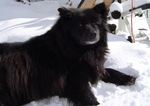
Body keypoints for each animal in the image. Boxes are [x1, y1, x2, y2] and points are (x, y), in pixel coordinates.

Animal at [0, 2, 135, 106]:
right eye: (80, 24)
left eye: (95, 23)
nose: (93, 34)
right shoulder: (74, 82)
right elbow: (89, 97)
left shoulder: (92, 67)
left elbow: (109, 70)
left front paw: (127, 78)